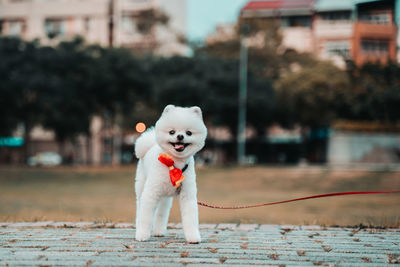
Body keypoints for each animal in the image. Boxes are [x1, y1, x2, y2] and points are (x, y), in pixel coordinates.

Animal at [136, 105, 208, 244]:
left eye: (189, 133)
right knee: (139, 208)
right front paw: (142, 235)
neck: (175, 165)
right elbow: (145, 216)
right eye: (172, 132)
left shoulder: (188, 195)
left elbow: (191, 219)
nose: (180, 136)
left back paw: (159, 231)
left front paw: (193, 237)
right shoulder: (151, 193)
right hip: (142, 188)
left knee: (161, 213)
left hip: (164, 198)